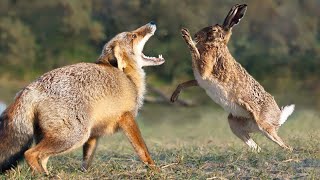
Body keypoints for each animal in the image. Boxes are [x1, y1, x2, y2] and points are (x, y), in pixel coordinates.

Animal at [0, 21, 165, 174]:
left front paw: (85, 173)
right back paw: (43, 175)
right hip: (74, 135)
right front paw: (155, 170)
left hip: (60, 135)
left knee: (42, 157)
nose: (152, 22)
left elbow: (87, 160)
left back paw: (48, 174)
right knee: (30, 153)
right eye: (133, 36)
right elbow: (143, 150)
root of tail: (30, 87)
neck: (128, 77)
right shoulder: (127, 117)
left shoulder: (94, 134)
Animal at [170, 4, 296, 152]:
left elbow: (195, 52)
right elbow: (184, 83)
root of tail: (278, 118)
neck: (216, 44)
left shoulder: (204, 70)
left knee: (285, 145)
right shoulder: (199, 80)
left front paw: (186, 36)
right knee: (256, 146)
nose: (196, 35)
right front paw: (173, 97)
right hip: (235, 124)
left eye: (213, 30)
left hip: (264, 126)